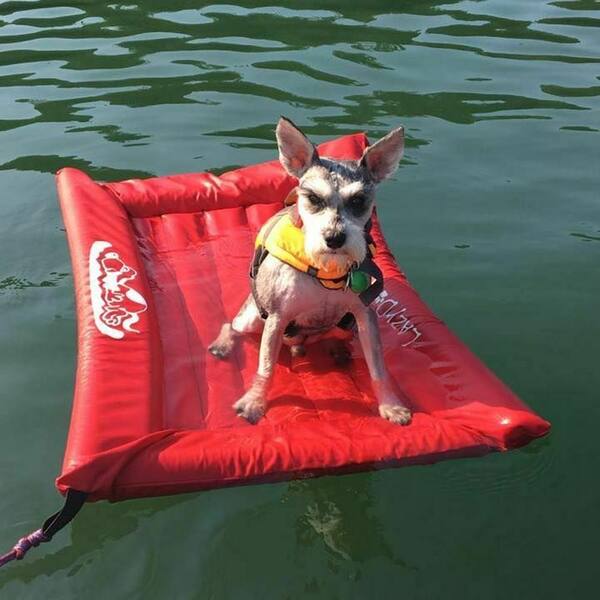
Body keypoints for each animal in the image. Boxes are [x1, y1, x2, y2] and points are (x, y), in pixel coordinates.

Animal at [209, 117, 410, 426]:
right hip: (253, 317)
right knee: (232, 324)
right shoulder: (277, 317)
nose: (335, 238)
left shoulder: (364, 315)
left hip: (347, 324)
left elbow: (378, 369)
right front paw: (254, 402)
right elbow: (265, 368)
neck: (326, 270)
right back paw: (223, 344)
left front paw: (391, 405)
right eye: (313, 198)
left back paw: (336, 350)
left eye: (359, 200)